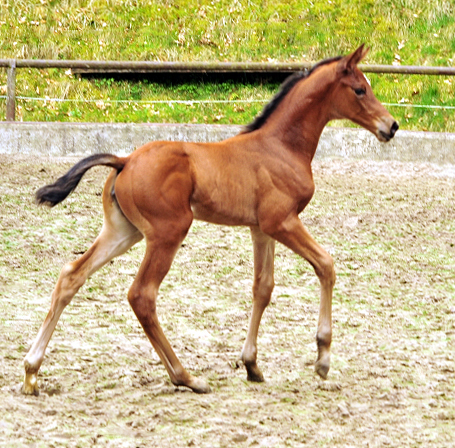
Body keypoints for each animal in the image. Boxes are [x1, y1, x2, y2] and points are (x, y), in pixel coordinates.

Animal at [22, 46, 400, 396]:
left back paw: (31, 372)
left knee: (71, 275)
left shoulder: (261, 229)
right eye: (360, 90)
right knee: (142, 295)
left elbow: (263, 288)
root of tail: (124, 160)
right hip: (168, 233)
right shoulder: (283, 222)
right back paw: (185, 377)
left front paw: (252, 365)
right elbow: (326, 265)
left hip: (123, 231)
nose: (392, 126)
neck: (280, 147)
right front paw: (322, 357)